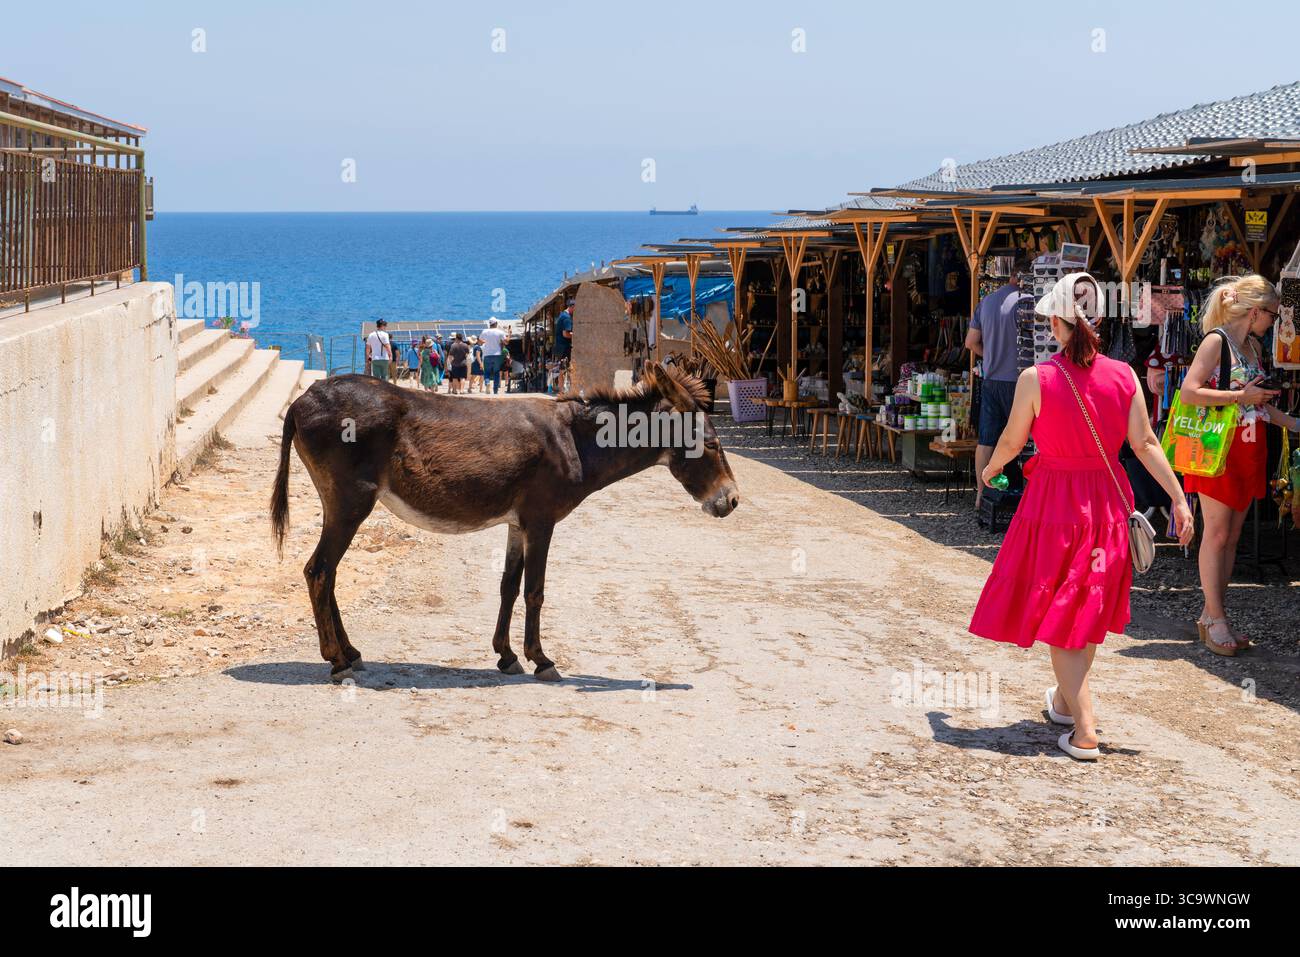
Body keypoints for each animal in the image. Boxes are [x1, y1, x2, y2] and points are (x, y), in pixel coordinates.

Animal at [270, 362, 739, 682]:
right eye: (712, 444)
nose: (732, 501)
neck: (575, 442)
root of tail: (302, 400)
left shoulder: (517, 524)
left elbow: (508, 586)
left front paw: (507, 655)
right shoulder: (542, 520)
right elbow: (535, 591)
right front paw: (541, 659)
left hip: (338, 503)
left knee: (327, 574)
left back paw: (350, 653)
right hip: (351, 502)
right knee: (319, 571)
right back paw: (336, 661)